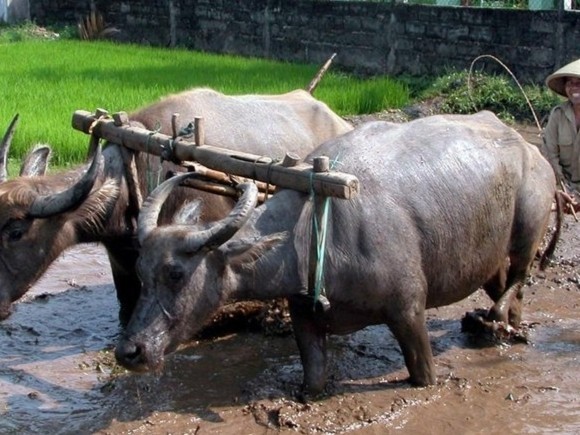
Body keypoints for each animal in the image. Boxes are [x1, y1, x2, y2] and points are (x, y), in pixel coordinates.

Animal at [114, 110, 560, 394]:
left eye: (177, 274)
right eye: (139, 271)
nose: (129, 352)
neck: (314, 229)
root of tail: (531, 150)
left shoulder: (409, 312)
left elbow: (423, 374)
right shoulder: (304, 318)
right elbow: (312, 378)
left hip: (528, 231)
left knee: (519, 277)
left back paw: (495, 321)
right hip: (489, 256)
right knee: (509, 289)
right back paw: (506, 329)